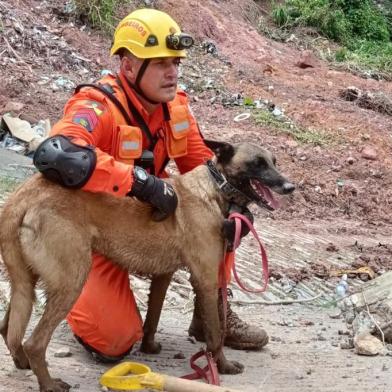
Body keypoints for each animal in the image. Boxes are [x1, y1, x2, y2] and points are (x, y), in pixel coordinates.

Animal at [0, 140, 294, 388]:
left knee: (8, 328)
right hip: (71, 282)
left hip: (26, 282)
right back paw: (49, 384)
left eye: (274, 161)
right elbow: (215, 334)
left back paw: (22, 362)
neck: (214, 187)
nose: (290, 187)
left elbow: (152, 317)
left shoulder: (164, 274)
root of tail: (23, 196)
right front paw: (222, 366)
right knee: (35, 342)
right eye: (257, 163)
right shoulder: (207, 279)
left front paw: (149, 347)